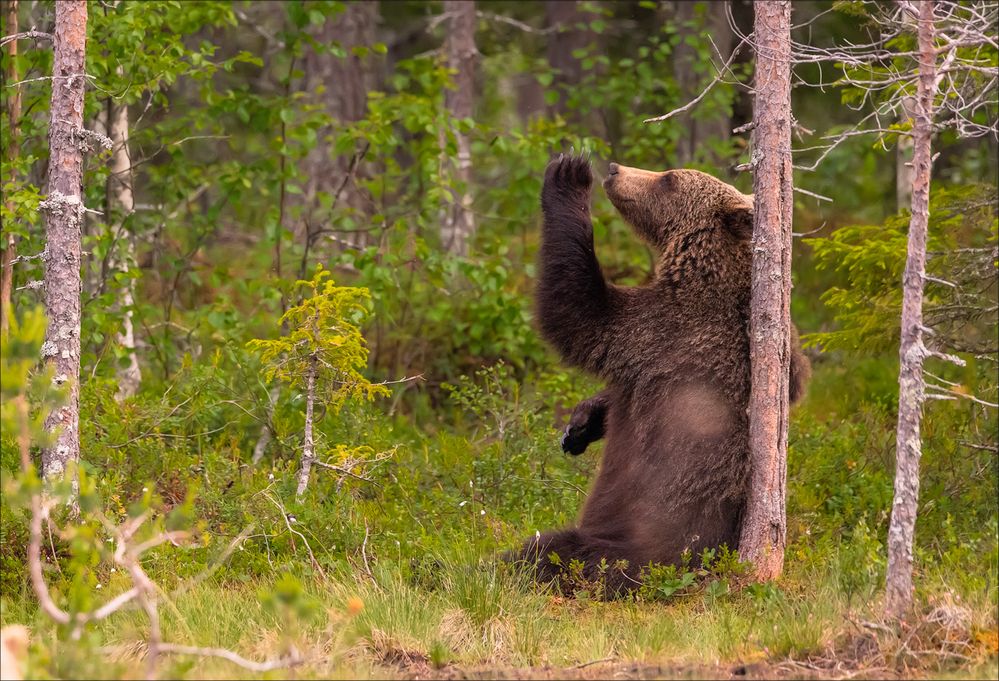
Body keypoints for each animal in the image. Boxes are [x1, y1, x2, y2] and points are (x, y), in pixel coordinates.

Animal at [520, 154, 808, 588]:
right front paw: (581, 424)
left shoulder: (665, 329)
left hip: (628, 546)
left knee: (547, 553)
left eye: (669, 179)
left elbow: (577, 311)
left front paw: (568, 176)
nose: (615, 169)